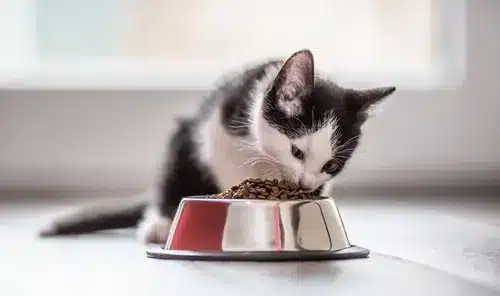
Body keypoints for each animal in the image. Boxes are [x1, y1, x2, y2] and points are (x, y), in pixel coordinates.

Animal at [40, 49, 394, 244]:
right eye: (297, 152)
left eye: (331, 165)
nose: (305, 184)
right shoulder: (217, 129)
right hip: (184, 137)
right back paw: (159, 223)